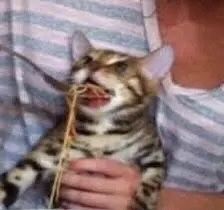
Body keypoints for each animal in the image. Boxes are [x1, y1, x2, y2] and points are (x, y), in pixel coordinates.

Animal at [0, 31, 174, 210]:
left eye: (121, 66)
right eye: (87, 59)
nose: (92, 66)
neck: (101, 130)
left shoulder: (156, 157)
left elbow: (150, 185)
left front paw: (140, 203)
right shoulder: (44, 155)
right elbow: (11, 181)